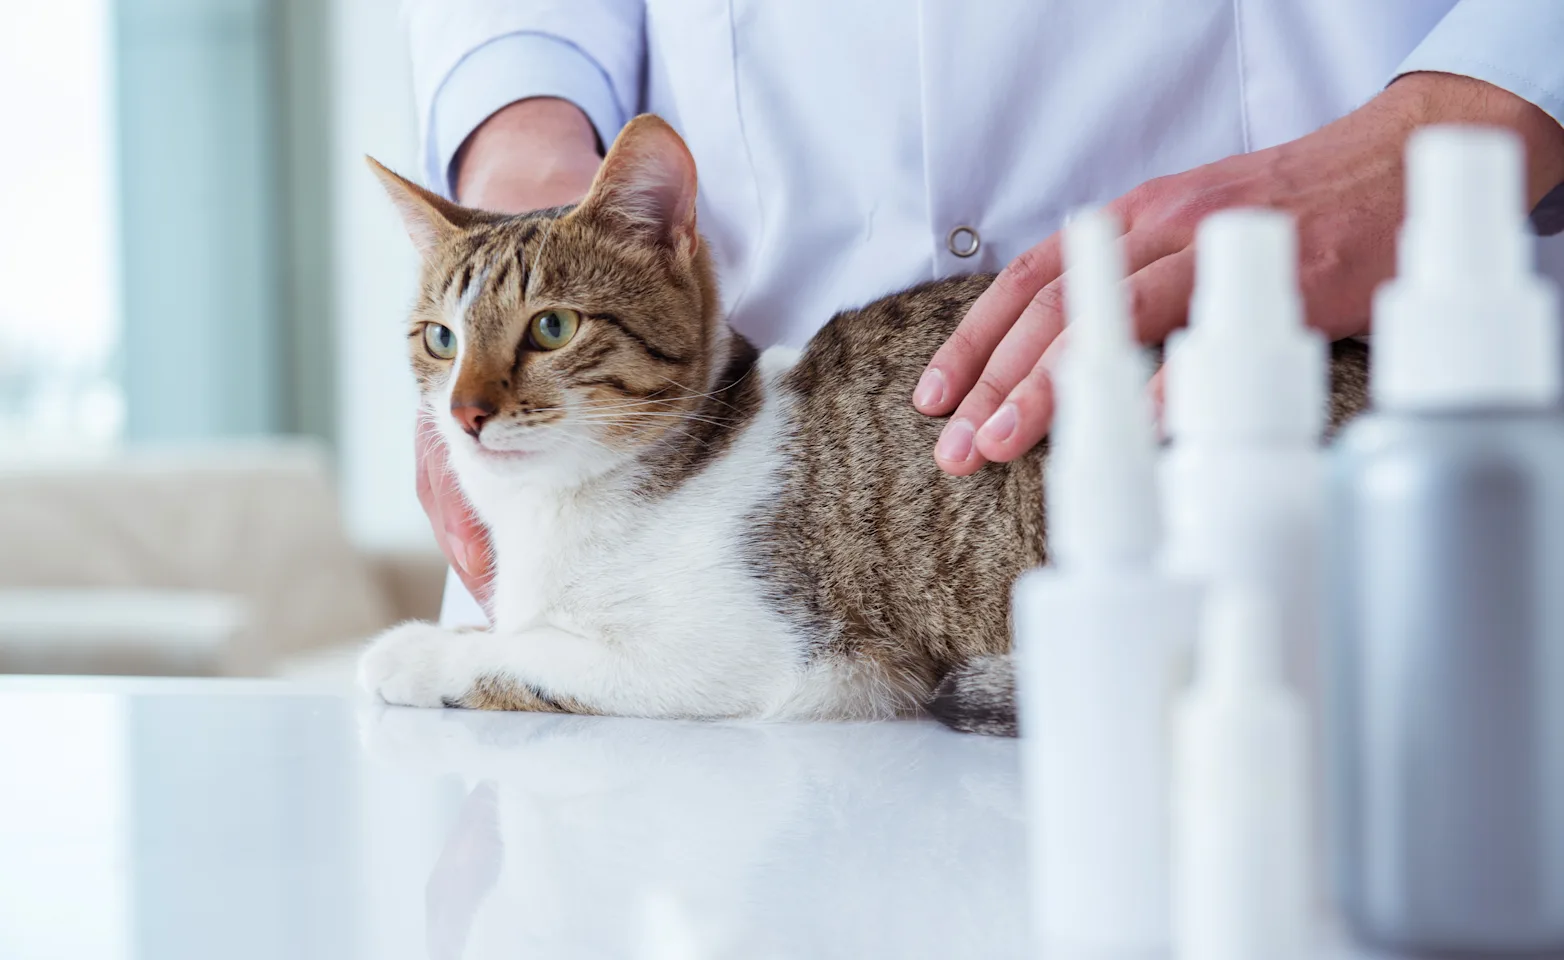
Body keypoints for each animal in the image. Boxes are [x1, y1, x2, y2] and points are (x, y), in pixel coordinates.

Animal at [358, 116, 1370, 741]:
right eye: (441, 339)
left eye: (552, 329)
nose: (465, 412)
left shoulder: (749, 654)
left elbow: (530, 652)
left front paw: (417, 650)